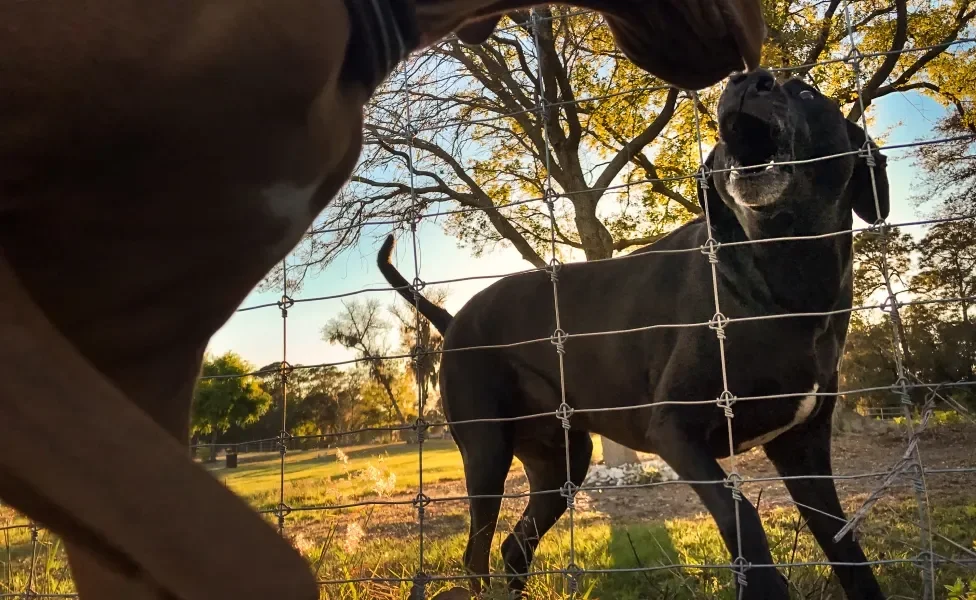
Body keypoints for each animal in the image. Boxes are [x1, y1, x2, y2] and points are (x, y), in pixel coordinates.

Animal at [380, 68, 892, 596]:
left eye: (808, 93)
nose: (747, 79)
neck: (786, 275)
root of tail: (453, 318)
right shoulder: (676, 430)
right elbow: (744, 520)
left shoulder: (802, 449)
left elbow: (846, 547)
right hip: (487, 452)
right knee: (476, 555)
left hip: (561, 462)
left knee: (514, 546)